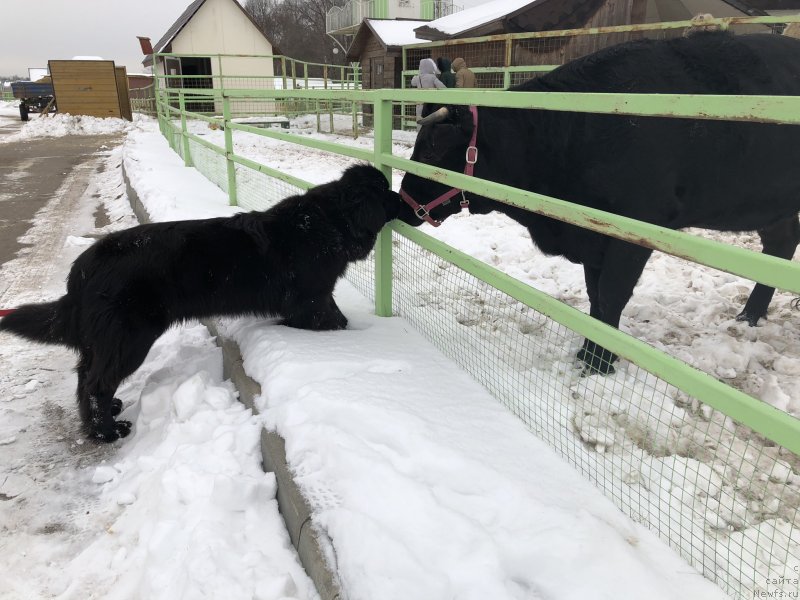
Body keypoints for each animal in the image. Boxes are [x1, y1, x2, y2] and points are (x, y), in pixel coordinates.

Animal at [0, 164, 400, 440]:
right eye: (385, 191)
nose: (404, 198)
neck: (328, 223)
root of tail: (83, 269)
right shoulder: (311, 299)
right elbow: (330, 319)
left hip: (103, 340)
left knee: (85, 377)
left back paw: (106, 415)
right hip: (128, 337)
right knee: (95, 382)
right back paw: (106, 432)